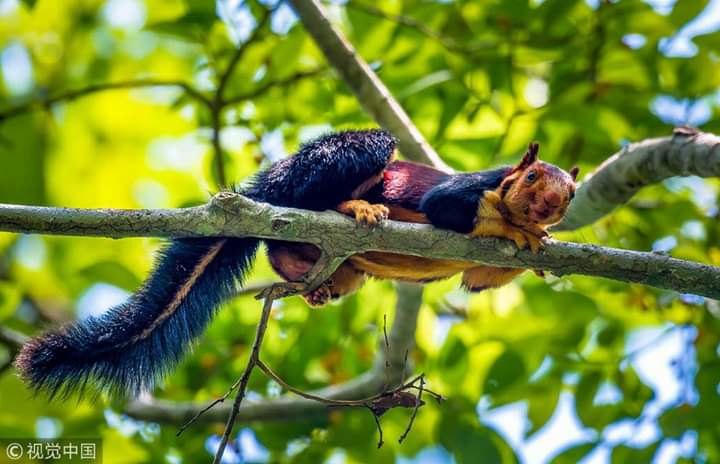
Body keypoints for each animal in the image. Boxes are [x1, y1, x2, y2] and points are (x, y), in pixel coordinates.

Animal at [16, 129, 578, 398]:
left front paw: (539, 240)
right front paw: (514, 227)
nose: (549, 205)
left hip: (333, 265)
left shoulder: (480, 271)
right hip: (335, 163)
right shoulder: (470, 188)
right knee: (316, 194)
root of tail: (267, 188)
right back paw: (354, 207)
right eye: (532, 177)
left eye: (570, 193)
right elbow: (454, 208)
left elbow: (480, 279)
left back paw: (317, 284)